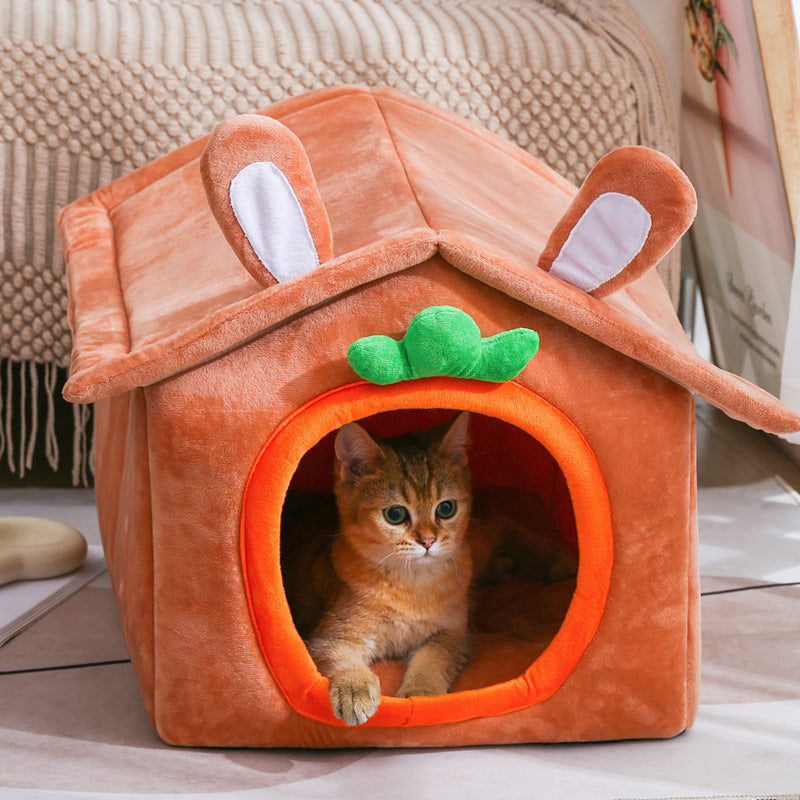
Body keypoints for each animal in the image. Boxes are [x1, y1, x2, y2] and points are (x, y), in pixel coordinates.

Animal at [282, 412, 576, 724]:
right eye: (395, 514)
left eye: (446, 508)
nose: (427, 541)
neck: (411, 585)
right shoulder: (331, 635)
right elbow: (340, 656)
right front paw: (354, 688)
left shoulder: (453, 632)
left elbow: (431, 662)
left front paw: (420, 693)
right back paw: (504, 567)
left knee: (500, 523)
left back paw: (552, 558)